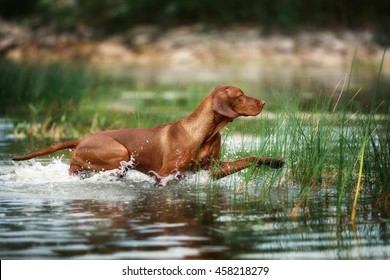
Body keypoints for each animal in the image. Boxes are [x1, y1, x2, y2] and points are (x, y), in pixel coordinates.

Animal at [13, 86, 284, 185]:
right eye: (240, 95)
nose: (263, 102)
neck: (206, 133)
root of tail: (82, 139)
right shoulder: (164, 174)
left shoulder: (213, 169)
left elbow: (250, 158)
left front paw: (275, 161)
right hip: (119, 154)